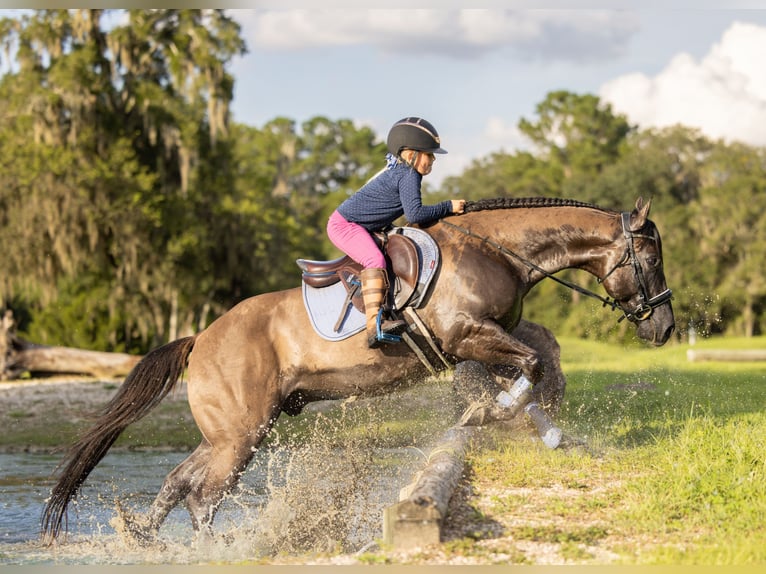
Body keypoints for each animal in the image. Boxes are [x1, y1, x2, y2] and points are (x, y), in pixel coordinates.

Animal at [41, 196, 674, 544]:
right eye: (650, 257)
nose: (664, 329)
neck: (495, 250)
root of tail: (201, 338)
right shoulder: (467, 335)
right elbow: (530, 367)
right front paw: (485, 414)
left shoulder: (487, 339)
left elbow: (536, 365)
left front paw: (550, 434)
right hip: (241, 435)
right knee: (203, 498)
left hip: (232, 432)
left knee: (179, 482)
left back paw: (145, 536)